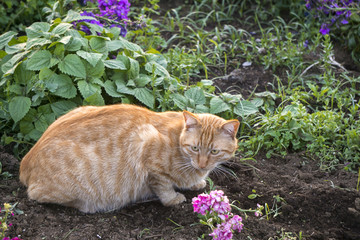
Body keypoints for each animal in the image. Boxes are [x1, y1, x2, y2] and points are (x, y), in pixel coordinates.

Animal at [19, 104, 239, 213]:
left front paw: (195, 183)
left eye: (214, 152)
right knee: (37, 195)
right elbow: (164, 187)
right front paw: (173, 199)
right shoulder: (146, 148)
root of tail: (24, 163)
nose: (202, 164)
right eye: (194, 148)